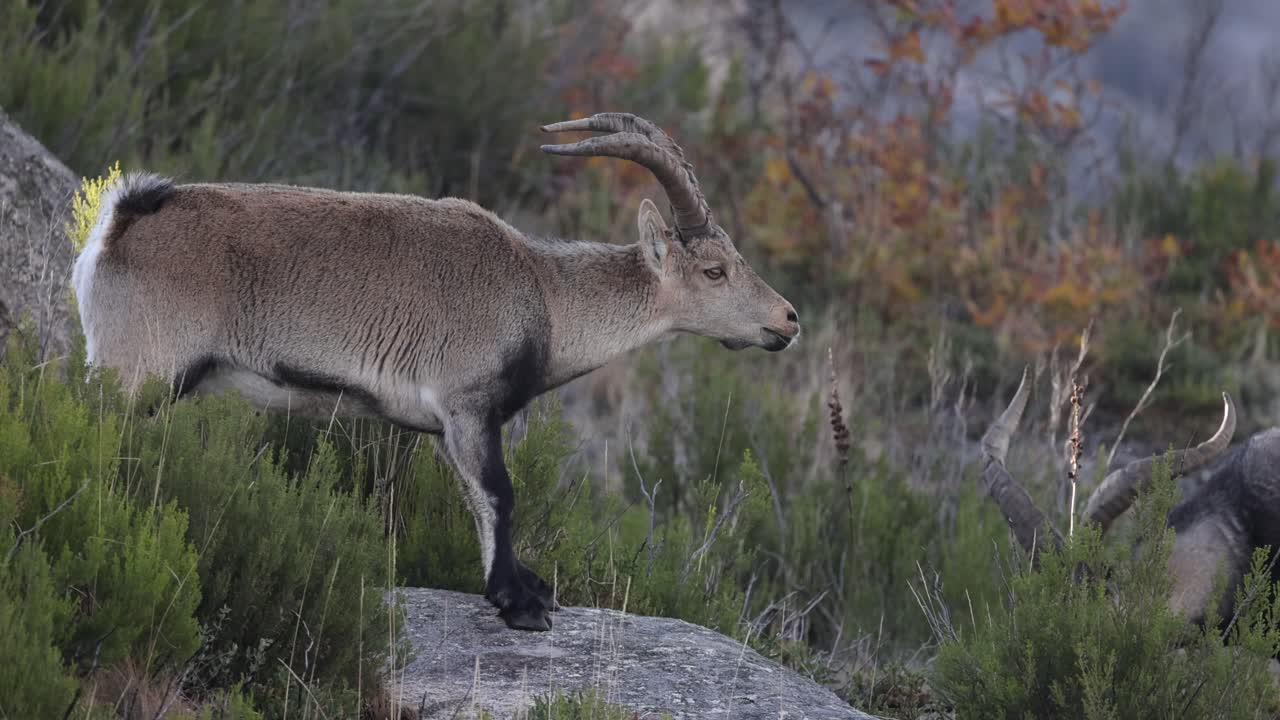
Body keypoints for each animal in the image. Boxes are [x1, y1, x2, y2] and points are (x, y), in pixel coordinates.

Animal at [71, 113, 800, 631]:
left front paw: (526, 588)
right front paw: (517, 603)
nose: (788, 320)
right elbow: (499, 494)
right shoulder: (468, 403)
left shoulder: (444, 426)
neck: (544, 293)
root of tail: (122, 221)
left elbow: (476, 499)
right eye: (715, 271)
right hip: (139, 372)